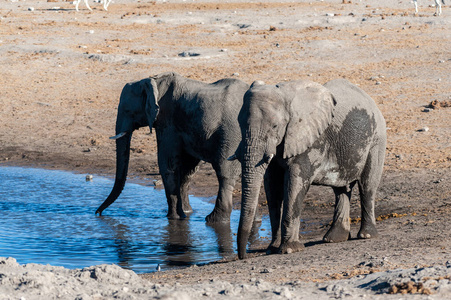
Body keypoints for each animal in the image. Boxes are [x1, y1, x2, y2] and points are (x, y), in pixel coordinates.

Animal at [97, 72, 251, 223]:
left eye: (127, 110)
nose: (98, 213)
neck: (153, 81)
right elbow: (188, 170)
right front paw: (187, 213)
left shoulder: (167, 121)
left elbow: (167, 164)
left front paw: (174, 217)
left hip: (232, 133)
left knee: (225, 172)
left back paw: (214, 219)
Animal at [231, 79, 386, 258]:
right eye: (240, 125)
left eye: (275, 126)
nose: (243, 256)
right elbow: (273, 187)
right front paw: (272, 249)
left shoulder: (308, 140)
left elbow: (294, 185)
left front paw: (289, 250)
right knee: (341, 190)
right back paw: (334, 239)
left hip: (376, 139)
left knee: (367, 186)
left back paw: (366, 235)